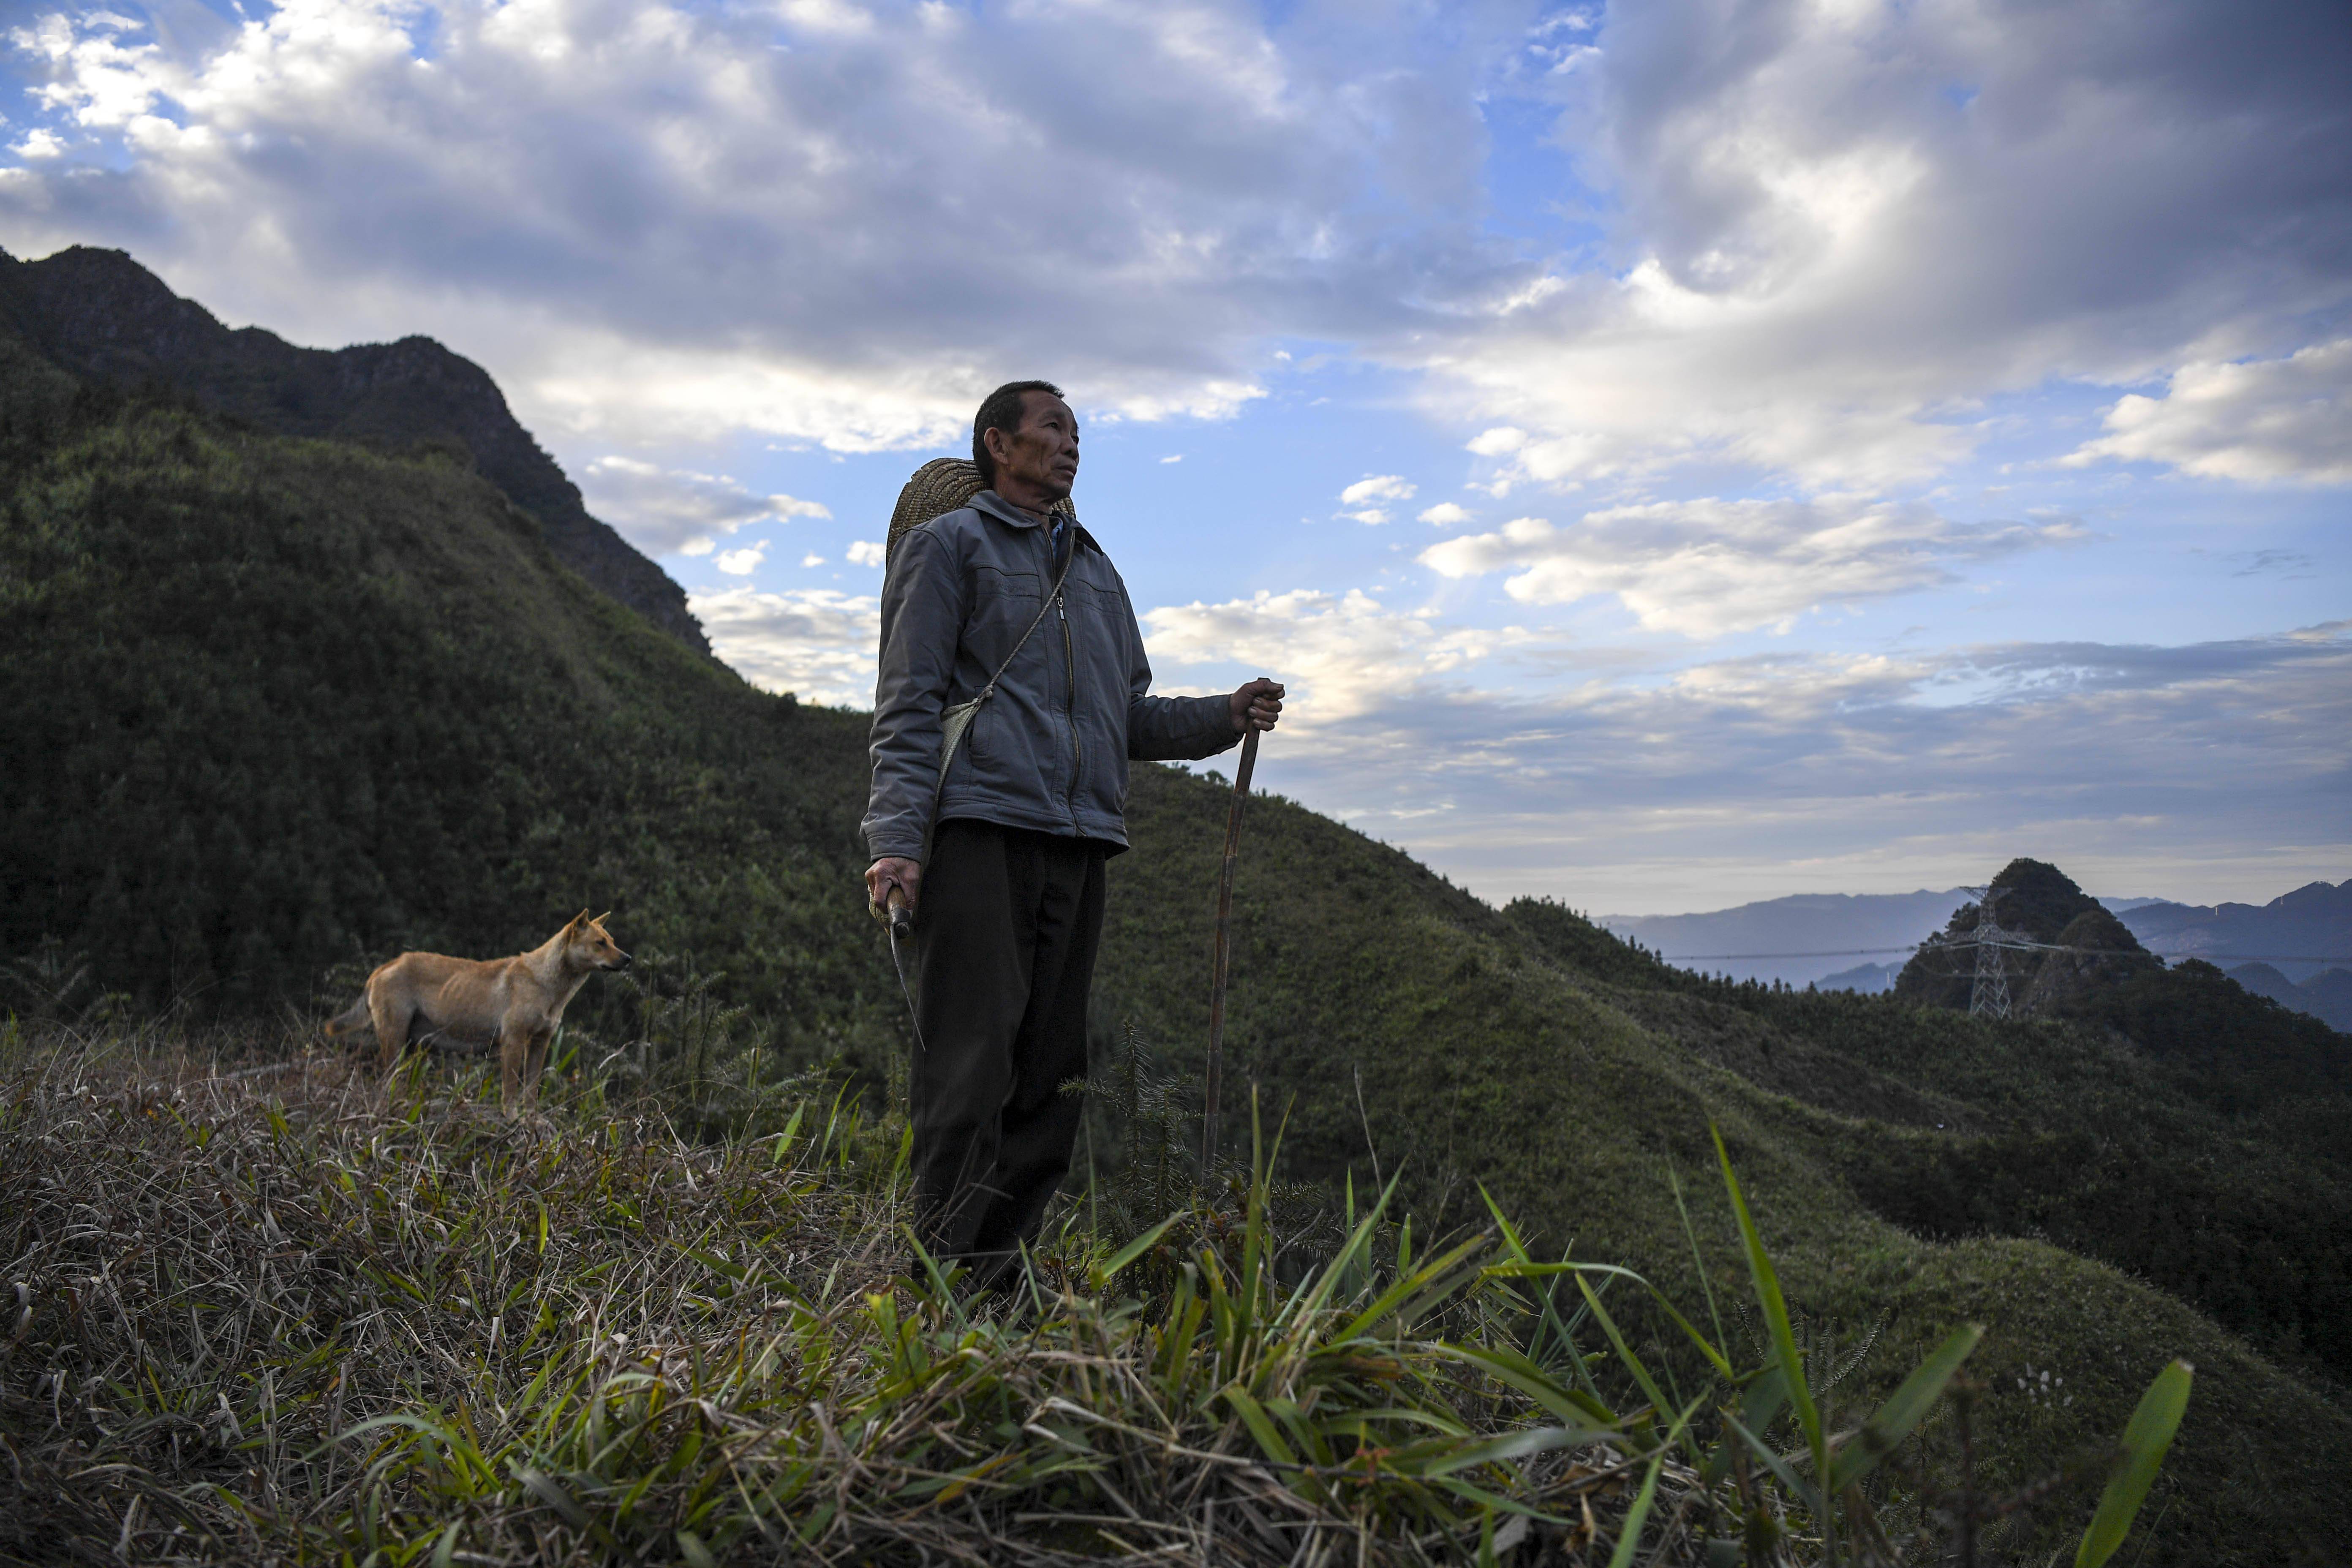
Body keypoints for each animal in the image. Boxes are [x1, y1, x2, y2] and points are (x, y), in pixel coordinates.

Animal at [327, 907, 635, 1114]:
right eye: (600, 943)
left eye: (612, 940)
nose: (628, 958)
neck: (547, 986)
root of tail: (384, 966)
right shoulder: (513, 1041)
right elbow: (511, 1090)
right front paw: (513, 1119)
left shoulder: (540, 1042)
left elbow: (531, 1091)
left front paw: (532, 1122)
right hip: (394, 1040)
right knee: (385, 1082)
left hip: (410, 1046)